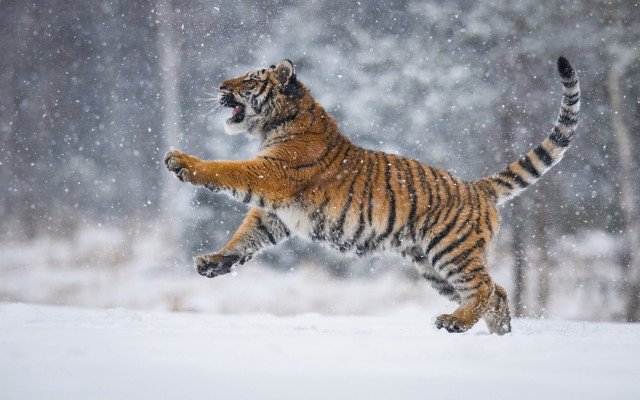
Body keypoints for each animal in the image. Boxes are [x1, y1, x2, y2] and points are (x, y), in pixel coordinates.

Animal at [164, 56, 580, 335]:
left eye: (250, 80)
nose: (221, 85)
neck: (277, 124)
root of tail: (477, 186)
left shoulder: (272, 175)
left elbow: (225, 169)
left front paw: (182, 161)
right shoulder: (276, 213)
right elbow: (246, 236)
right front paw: (214, 262)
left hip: (451, 250)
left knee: (485, 286)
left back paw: (454, 324)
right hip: (433, 267)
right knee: (499, 291)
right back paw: (499, 334)